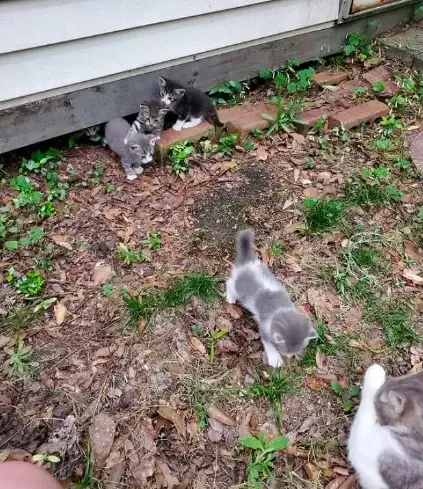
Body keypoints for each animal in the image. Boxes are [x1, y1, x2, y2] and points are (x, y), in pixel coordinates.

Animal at [227, 229, 316, 366]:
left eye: (295, 350)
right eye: (285, 350)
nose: (289, 356)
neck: (281, 310)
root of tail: (248, 262)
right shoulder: (264, 329)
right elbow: (268, 344)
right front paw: (276, 359)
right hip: (240, 287)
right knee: (230, 282)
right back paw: (230, 297)